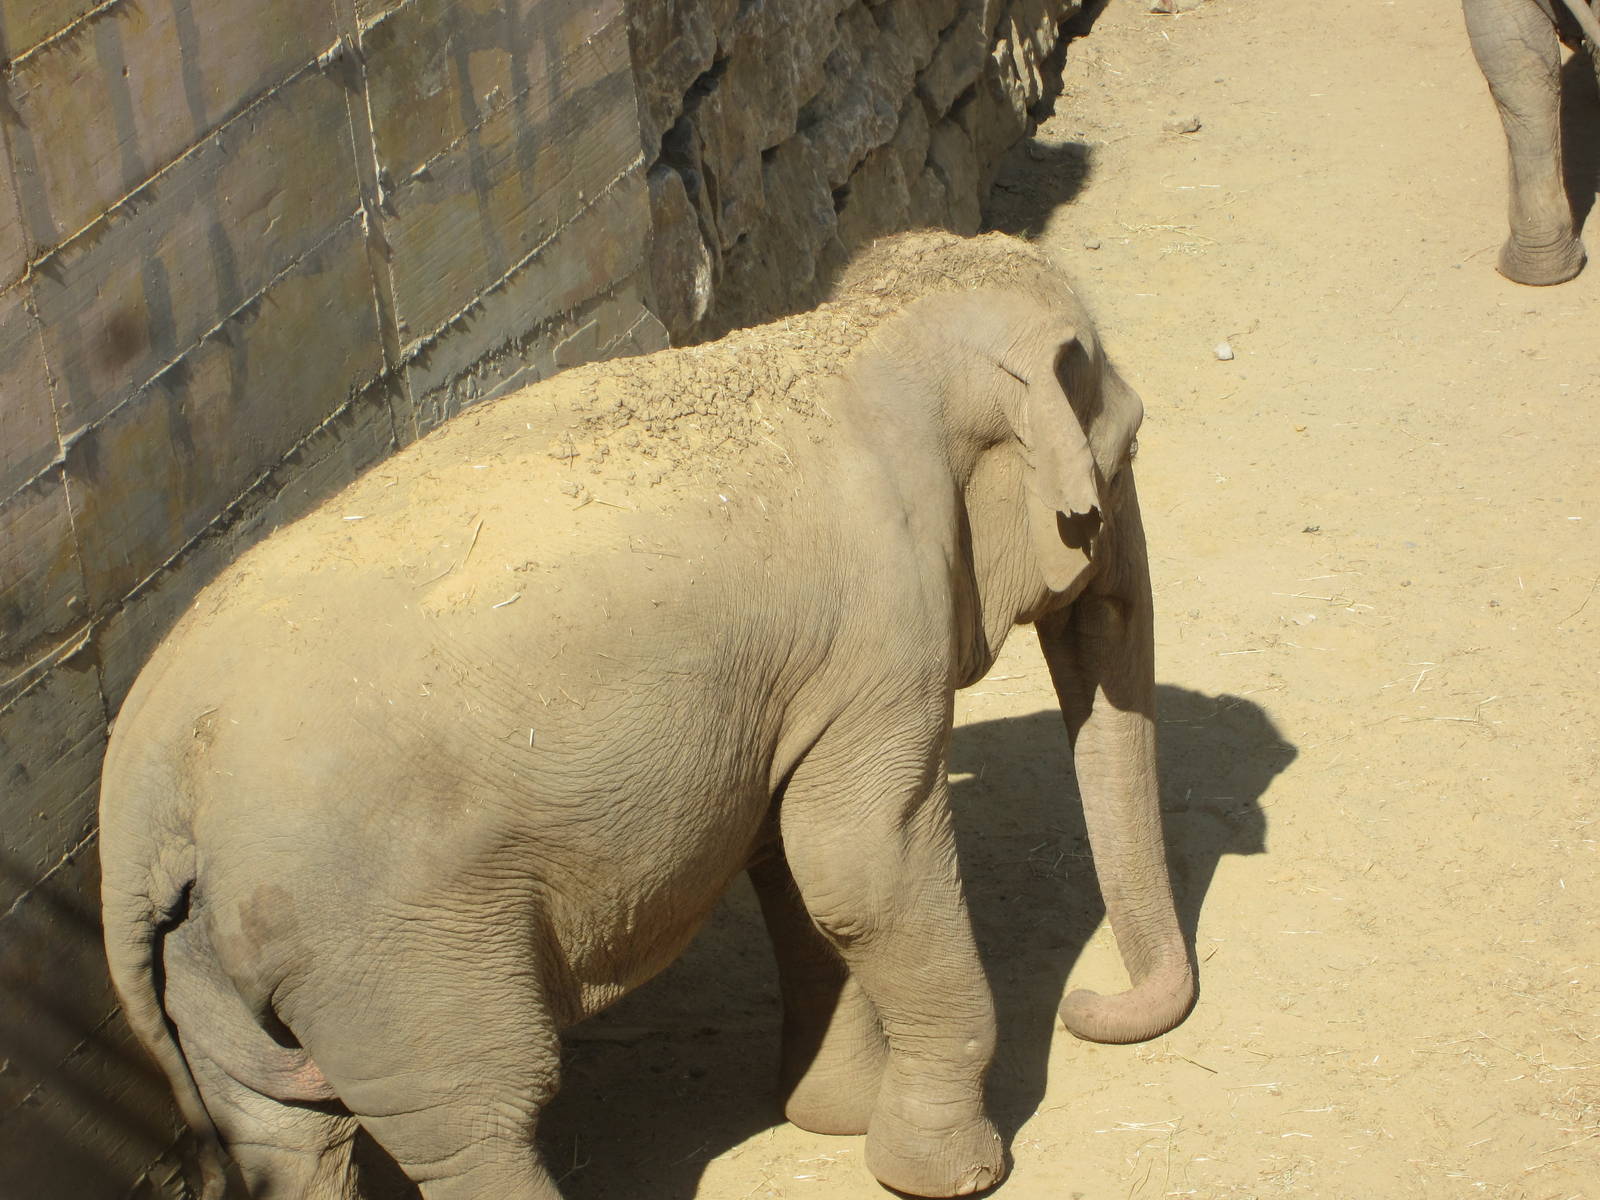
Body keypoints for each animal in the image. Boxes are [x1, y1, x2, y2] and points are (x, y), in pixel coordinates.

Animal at [99, 230, 1195, 1200]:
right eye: (1133, 448)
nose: (1092, 1003)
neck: (852, 334)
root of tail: (143, 798)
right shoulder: (881, 635)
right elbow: (859, 867)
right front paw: (949, 1176)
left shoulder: (791, 688)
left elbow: (793, 868)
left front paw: (830, 1120)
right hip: (386, 950)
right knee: (477, 1120)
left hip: (212, 964)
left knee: (285, 1136)